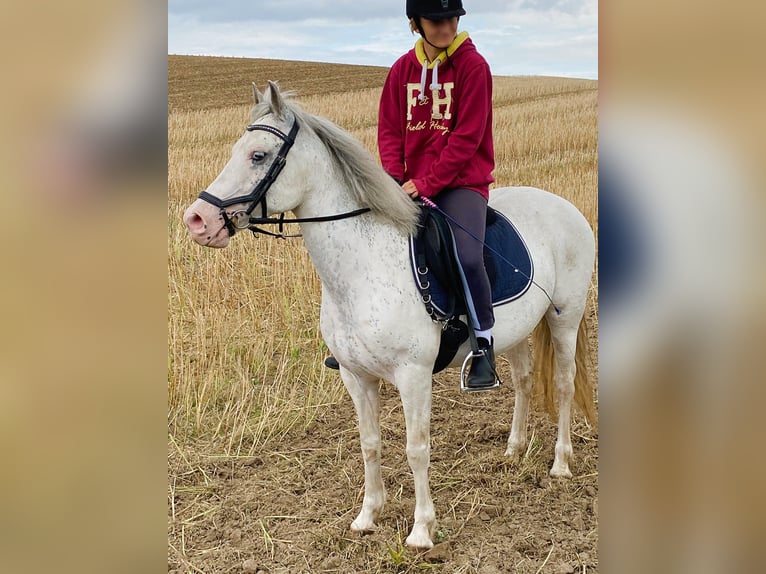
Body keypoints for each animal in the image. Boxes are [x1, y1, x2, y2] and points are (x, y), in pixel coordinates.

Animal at [183, 82, 596, 552]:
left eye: (258, 155)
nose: (197, 219)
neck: (363, 265)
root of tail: (565, 206)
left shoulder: (412, 375)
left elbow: (417, 449)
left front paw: (421, 531)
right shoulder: (355, 375)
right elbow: (369, 443)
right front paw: (368, 515)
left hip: (565, 319)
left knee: (563, 385)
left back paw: (561, 463)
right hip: (514, 332)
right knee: (524, 379)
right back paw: (513, 449)